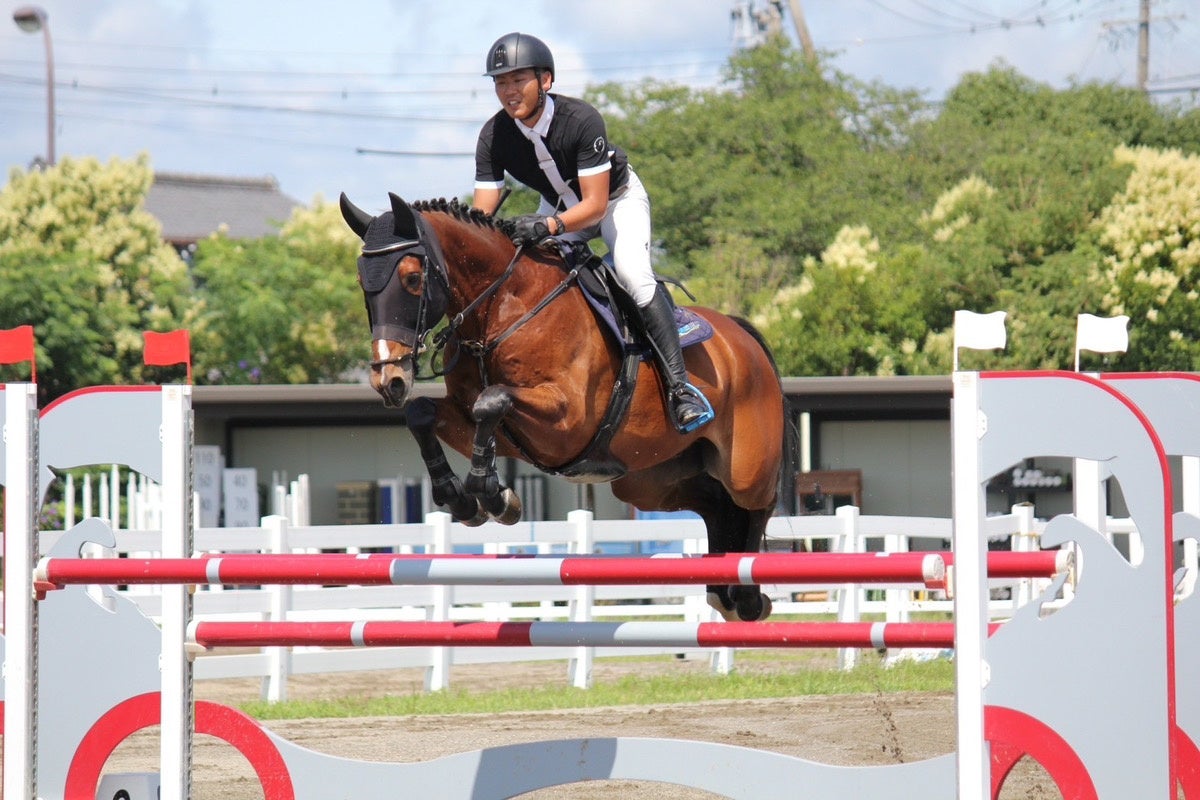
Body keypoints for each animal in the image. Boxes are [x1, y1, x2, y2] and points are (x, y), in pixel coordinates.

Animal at [340, 195, 787, 623]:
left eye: (412, 278)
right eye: (363, 282)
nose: (389, 379)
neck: (501, 310)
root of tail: (740, 336)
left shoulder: (567, 422)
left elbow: (493, 400)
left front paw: (492, 494)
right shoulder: (486, 426)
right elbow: (423, 413)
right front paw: (462, 497)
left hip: (744, 467)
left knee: (756, 503)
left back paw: (747, 597)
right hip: (648, 480)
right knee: (715, 505)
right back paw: (724, 591)